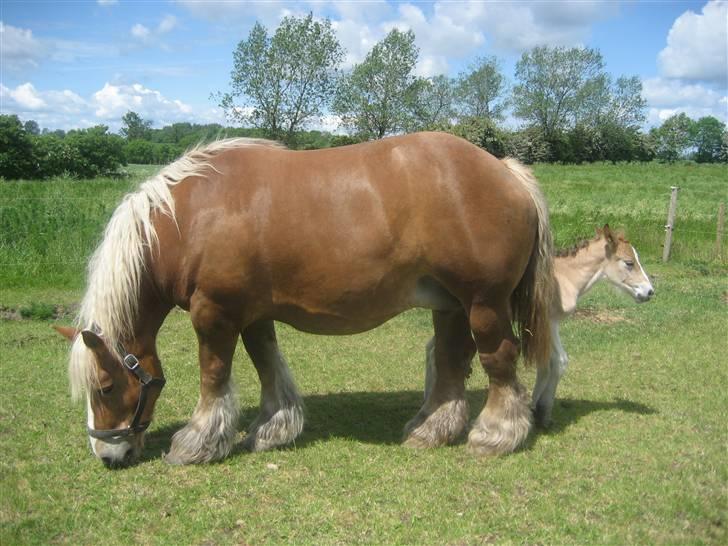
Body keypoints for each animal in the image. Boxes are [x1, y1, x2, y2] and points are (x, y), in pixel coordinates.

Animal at [57, 131, 556, 464]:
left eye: (105, 387)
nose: (106, 454)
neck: (190, 218)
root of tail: (505, 170)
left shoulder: (214, 313)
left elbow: (214, 375)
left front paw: (198, 442)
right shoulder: (252, 314)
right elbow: (267, 364)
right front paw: (272, 429)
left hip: (483, 304)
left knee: (498, 359)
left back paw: (495, 433)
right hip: (449, 305)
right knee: (453, 361)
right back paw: (432, 430)